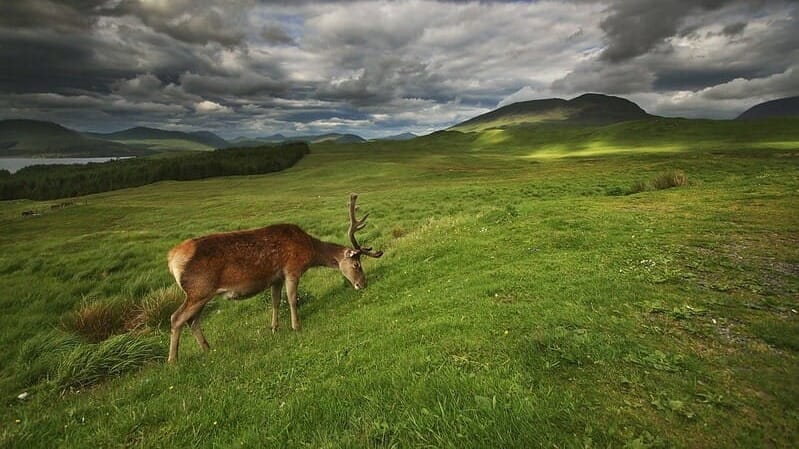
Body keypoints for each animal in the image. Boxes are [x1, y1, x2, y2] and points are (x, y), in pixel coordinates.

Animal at [166, 193, 383, 363]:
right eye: (356, 265)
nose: (363, 284)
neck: (310, 251)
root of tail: (171, 259)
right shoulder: (292, 269)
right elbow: (292, 299)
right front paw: (296, 327)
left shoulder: (275, 278)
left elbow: (276, 302)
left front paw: (274, 328)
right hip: (199, 289)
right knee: (176, 317)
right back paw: (173, 361)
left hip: (202, 294)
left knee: (192, 320)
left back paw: (207, 349)